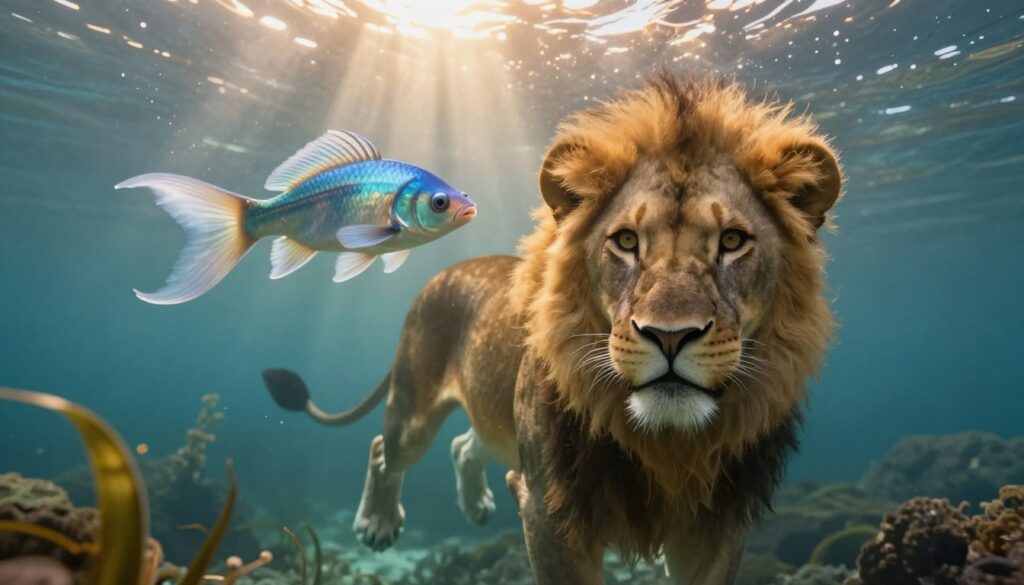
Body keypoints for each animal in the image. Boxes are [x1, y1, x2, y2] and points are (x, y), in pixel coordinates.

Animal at [263, 73, 843, 585]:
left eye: (732, 242)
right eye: (626, 241)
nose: (670, 336)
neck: (663, 443)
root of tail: (446, 270)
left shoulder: (718, 524)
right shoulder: (548, 510)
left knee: (465, 445)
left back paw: (475, 505)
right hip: (413, 407)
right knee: (385, 449)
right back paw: (377, 523)